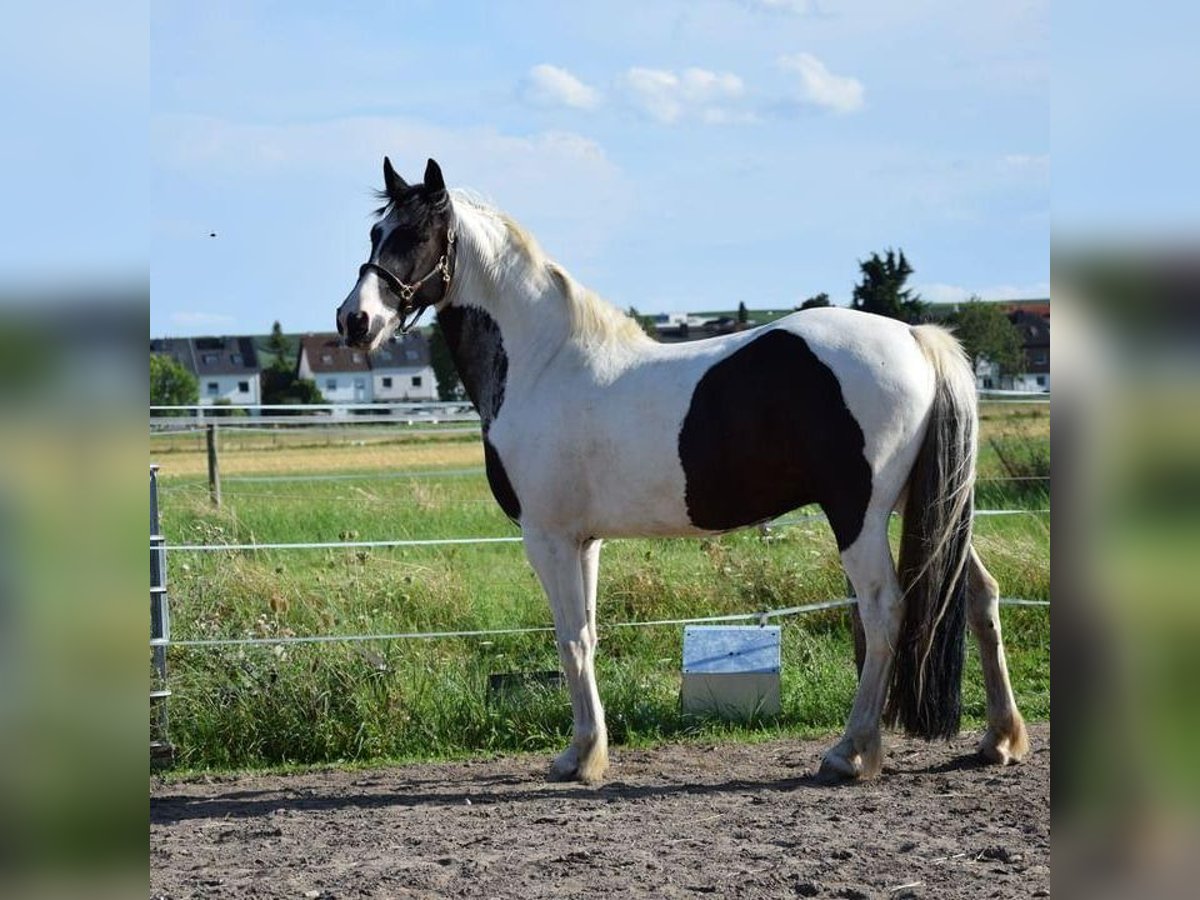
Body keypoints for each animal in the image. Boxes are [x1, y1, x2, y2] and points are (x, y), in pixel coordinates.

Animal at [340, 158, 1032, 787]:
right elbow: (589, 635)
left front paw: (578, 758)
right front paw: (590, 750)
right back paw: (998, 740)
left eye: (415, 236)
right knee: (978, 594)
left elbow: (569, 639)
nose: (354, 321)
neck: (544, 363)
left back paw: (851, 752)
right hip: (931, 505)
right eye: (374, 232)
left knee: (885, 608)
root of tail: (915, 338)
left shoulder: (548, 537)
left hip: (857, 514)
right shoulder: (585, 541)